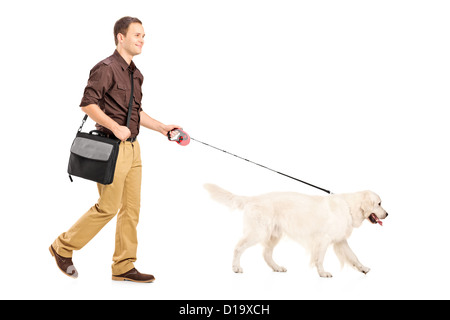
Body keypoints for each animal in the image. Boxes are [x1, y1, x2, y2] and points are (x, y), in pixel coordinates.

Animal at [206, 184, 388, 278]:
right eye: (379, 204)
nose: (387, 214)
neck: (349, 207)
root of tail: (253, 198)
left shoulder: (340, 240)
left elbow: (353, 256)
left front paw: (363, 268)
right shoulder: (324, 239)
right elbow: (320, 259)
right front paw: (322, 273)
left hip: (273, 235)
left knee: (266, 254)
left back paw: (277, 268)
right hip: (258, 232)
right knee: (238, 247)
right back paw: (236, 268)